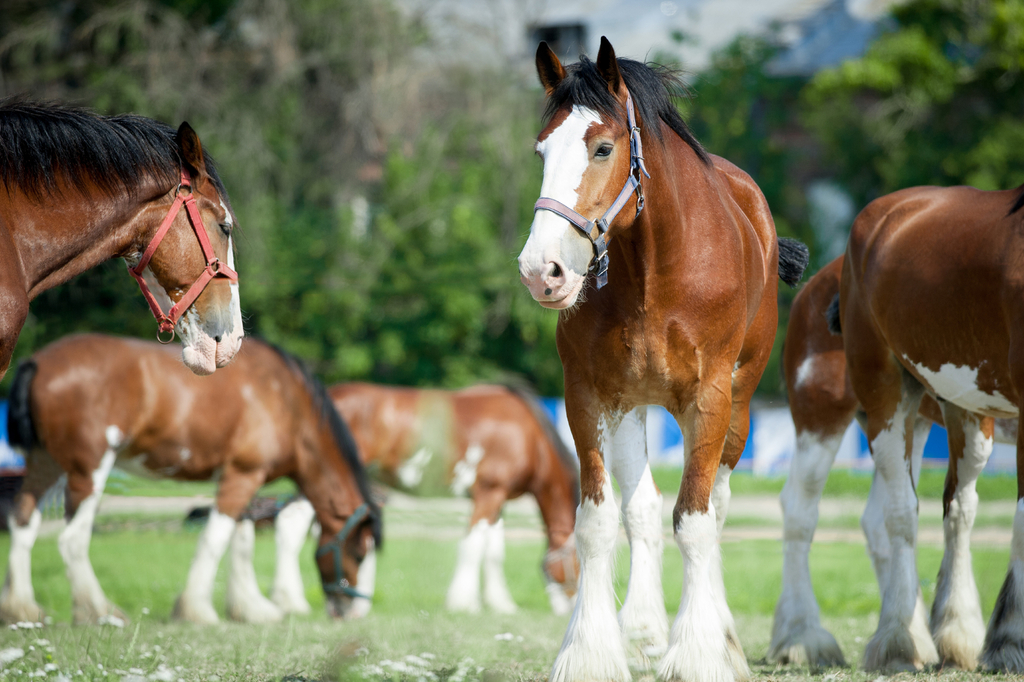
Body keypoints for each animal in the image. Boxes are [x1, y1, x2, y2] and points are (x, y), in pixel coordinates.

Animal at [0, 334, 380, 625]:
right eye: (360, 554)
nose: (356, 611)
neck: (285, 399)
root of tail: (38, 363)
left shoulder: (241, 479)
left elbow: (240, 539)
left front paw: (250, 608)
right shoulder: (242, 475)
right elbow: (216, 540)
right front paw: (197, 610)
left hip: (45, 463)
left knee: (23, 523)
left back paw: (22, 609)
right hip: (88, 470)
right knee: (72, 539)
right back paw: (98, 611)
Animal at [324, 382, 580, 615]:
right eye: (579, 566)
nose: (569, 608)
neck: (530, 436)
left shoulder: (499, 499)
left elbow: (494, 552)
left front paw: (500, 604)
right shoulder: (488, 493)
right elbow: (473, 546)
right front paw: (463, 603)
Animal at [516, 38, 808, 682]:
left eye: (603, 148)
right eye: (540, 150)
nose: (542, 270)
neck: (652, 269)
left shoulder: (711, 400)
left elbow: (695, 521)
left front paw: (698, 654)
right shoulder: (590, 397)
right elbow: (599, 522)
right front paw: (591, 652)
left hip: (738, 408)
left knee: (714, 509)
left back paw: (721, 639)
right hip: (634, 407)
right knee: (642, 510)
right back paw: (644, 632)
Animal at [771, 254, 1016, 669]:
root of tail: (815, 282)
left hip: (907, 423)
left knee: (878, 518)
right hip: (824, 415)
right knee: (800, 510)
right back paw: (804, 637)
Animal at [833, 183, 1024, 672]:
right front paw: (1011, 640)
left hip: (968, 412)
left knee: (959, 510)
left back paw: (955, 634)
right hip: (884, 394)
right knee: (902, 512)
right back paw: (901, 641)